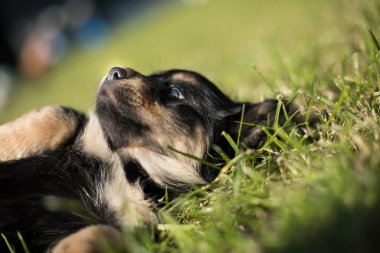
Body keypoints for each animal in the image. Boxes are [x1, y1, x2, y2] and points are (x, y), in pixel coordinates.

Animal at [0, 66, 286, 252]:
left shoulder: (132, 225)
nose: (114, 71)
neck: (132, 168)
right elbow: (58, 115)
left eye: (175, 93)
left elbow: (101, 232)